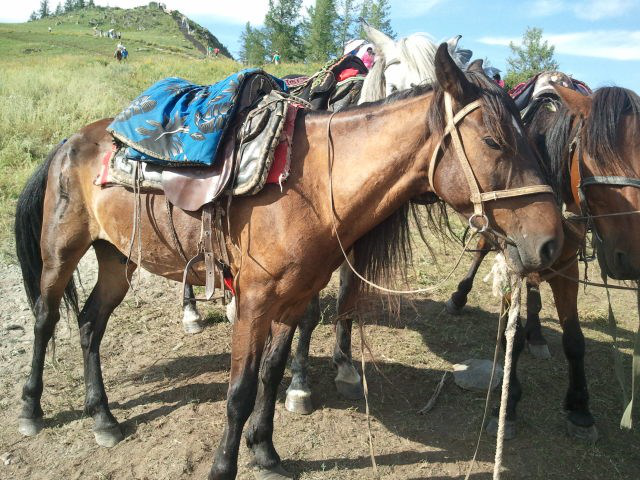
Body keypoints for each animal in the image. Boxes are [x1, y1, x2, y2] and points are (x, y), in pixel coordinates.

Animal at [14, 46, 563, 479]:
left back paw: (103, 418)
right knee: (45, 318)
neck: (315, 185)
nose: (550, 244)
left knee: (89, 323)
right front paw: (224, 467)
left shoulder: (295, 299)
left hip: (117, 258)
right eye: (494, 141)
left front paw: (266, 452)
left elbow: (272, 375)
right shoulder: (253, 301)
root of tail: (69, 142)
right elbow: (239, 390)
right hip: (61, 252)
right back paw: (32, 410)